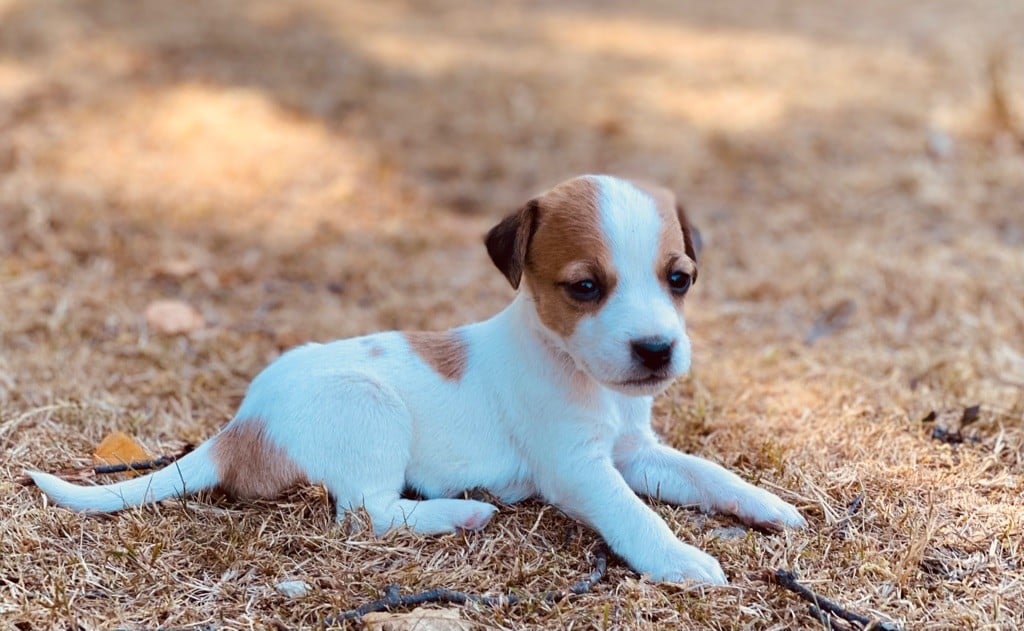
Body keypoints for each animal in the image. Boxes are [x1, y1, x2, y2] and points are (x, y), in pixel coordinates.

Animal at [28, 175, 802, 585]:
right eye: (585, 286)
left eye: (680, 279)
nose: (656, 349)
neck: (577, 371)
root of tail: (241, 426)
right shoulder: (580, 469)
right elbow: (634, 514)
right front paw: (681, 559)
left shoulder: (636, 452)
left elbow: (707, 472)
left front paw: (767, 505)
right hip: (369, 409)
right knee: (366, 514)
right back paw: (459, 512)